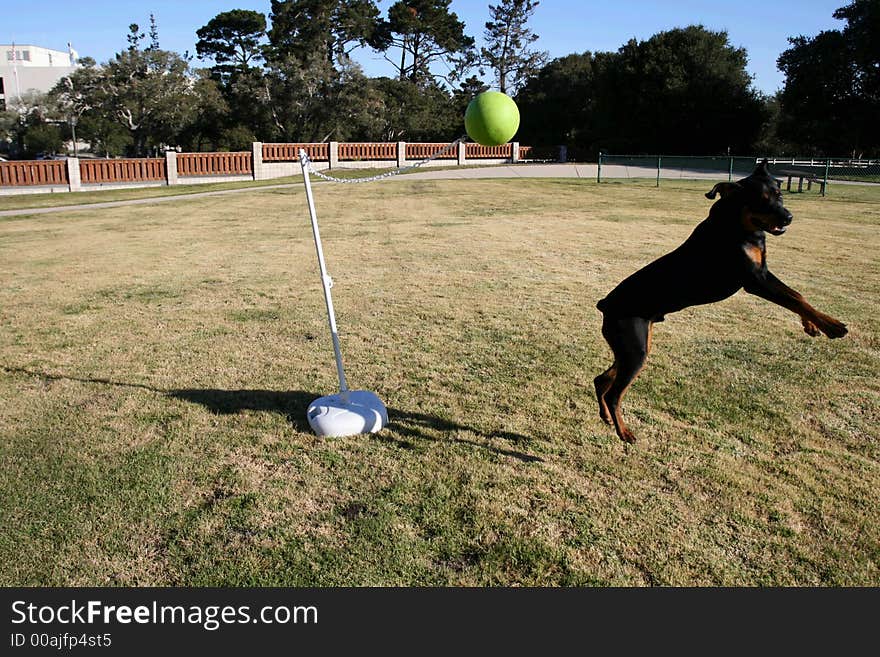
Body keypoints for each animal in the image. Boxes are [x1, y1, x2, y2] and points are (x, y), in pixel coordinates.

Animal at [596, 158, 848, 440]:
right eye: (760, 200)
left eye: (779, 195)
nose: (789, 217)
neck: (738, 225)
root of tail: (605, 304)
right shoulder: (755, 280)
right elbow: (794, 297)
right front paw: (833, 326)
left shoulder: (763, 272)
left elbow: (797, 296)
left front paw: (812, 326)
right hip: (635, 349)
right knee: (615, 393)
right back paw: (624, 432)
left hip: (634, 346)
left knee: (602, 380)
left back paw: (607, 418)